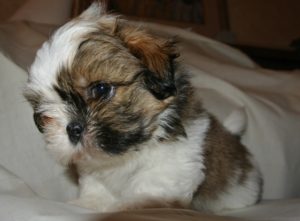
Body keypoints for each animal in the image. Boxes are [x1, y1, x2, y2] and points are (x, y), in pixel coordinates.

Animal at [24, 3, 262, 212]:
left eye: (100, 89)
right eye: (43, 115)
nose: (72, 129)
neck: (129, 152)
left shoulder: (173, 165)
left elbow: (149, 188)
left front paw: (129, 207)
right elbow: (97, 188)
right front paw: (90, 204)